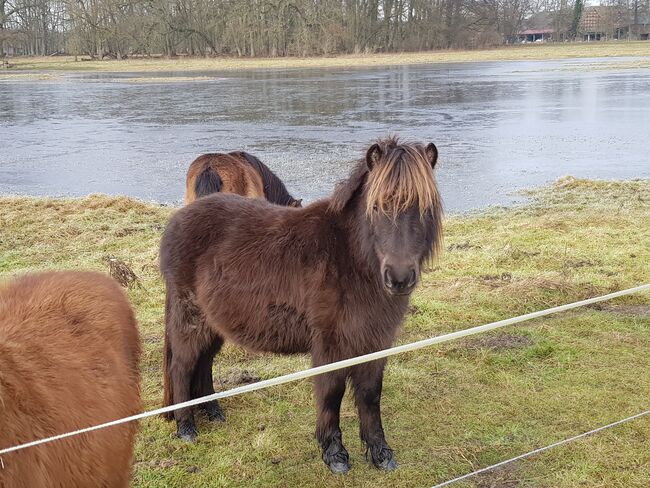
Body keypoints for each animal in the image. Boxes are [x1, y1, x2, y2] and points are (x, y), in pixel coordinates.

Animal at [160, 136, 442, 472]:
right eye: (376, 206)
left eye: (425, 207)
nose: (399, 278)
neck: (350, 259)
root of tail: (178, 220)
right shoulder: (331, 344)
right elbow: (332, 393)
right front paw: (335, 455)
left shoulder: (375, 341)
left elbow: (371, 395)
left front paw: (381, 453)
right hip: (190, 319)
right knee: (182, 366)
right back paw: (186, 428)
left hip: (214, 323)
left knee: (203, 363)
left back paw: (213, 413)